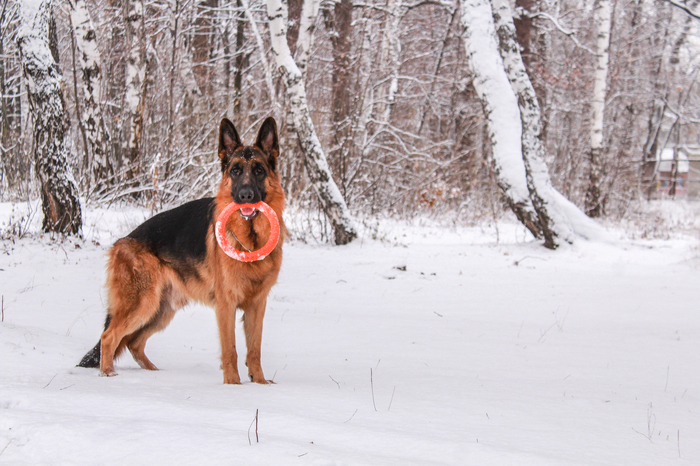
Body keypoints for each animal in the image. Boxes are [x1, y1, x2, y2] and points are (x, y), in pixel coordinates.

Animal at [81, 117, 288, 386]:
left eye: (259, 170)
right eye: (235, 171)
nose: (245, 196)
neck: (249, 241)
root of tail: (122, 241)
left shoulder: (257, 305)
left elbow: (255, 349)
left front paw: (260, 384)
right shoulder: (226, 306)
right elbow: (230, 349)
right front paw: (233, 385)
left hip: (162, 310)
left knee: (134, 342)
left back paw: (155, 374)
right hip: (143, 304)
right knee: (109, 337)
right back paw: (108, 375)